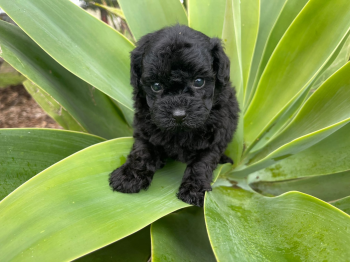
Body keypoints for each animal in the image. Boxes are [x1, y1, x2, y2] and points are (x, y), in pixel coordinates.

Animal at [110, 25, 241, 207]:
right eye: (156, 86)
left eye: (199, 81)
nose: (179, 115)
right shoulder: (145, 128)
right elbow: (141, 151)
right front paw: (129, 176)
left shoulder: (215, 136)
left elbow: (202, 163)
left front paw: (194, 189)